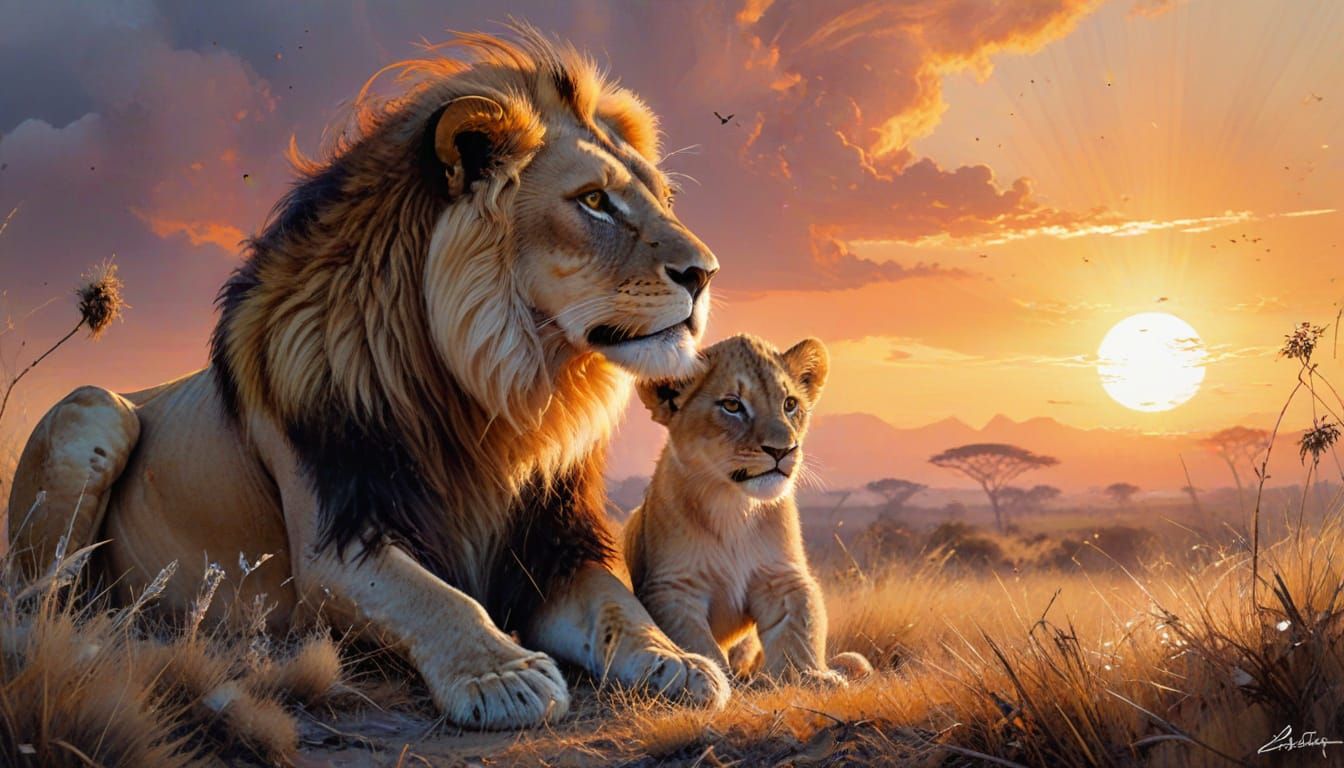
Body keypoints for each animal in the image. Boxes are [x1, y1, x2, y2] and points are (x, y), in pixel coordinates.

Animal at [6, 26, 732, 729]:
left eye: (664, 199)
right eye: (594, 201)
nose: (706, 273)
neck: (498, 395)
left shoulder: (553, 547)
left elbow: (619, 607)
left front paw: (678, 661)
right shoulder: (335, 544)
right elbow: (436, 600)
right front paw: (502, 676)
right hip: (94, 408)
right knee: (41, 602)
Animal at [623, 334, 872, 685]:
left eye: (789, 404)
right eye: (732, 406)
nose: (783, 450)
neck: (735, 506)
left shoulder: (783, 578)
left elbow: (800, 630)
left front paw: (810, 676)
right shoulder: (671, 587)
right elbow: (694, 640)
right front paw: (714, 679)